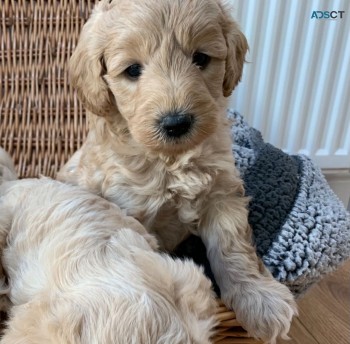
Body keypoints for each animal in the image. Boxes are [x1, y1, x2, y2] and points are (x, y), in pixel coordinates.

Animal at [59, 0, 298, 342]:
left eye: (201, 58)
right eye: (132, 70)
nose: (176, 123)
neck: (170, 161)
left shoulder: (222, 195)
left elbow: (234, 248)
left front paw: (259, 298)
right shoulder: (131, 210)